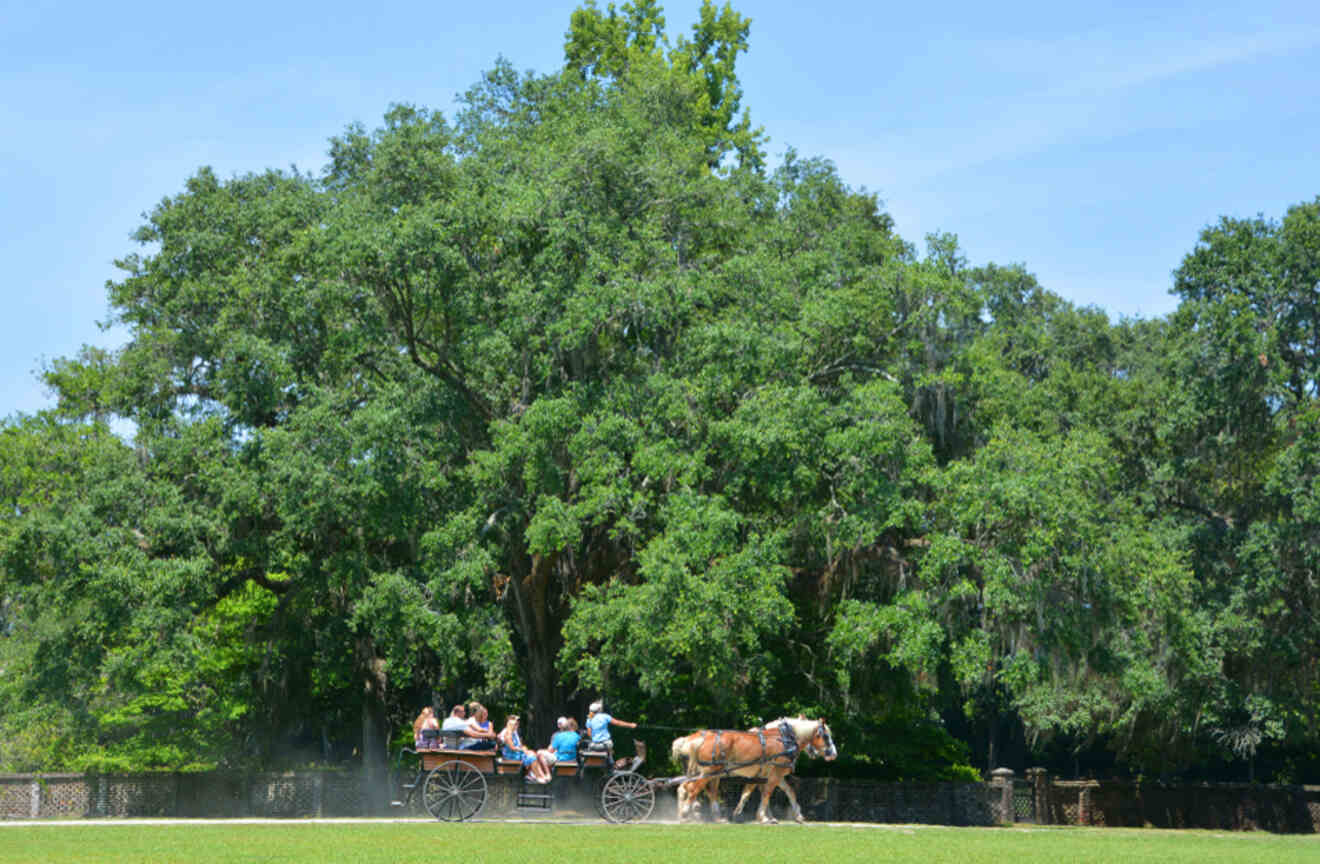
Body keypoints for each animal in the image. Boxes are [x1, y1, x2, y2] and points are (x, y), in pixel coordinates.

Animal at [670, 717, 834, 823]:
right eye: (826, 736)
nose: (833, 754)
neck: (784, 739)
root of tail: (696, 739)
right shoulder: (774, 774)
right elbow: (766, 793)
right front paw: (763, 817)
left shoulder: (772, 774)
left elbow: (788, 792)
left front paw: (797, 815)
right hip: (710, 771)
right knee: (694, 788)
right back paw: (686, 813)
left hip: (709, 772)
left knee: (691, 788)